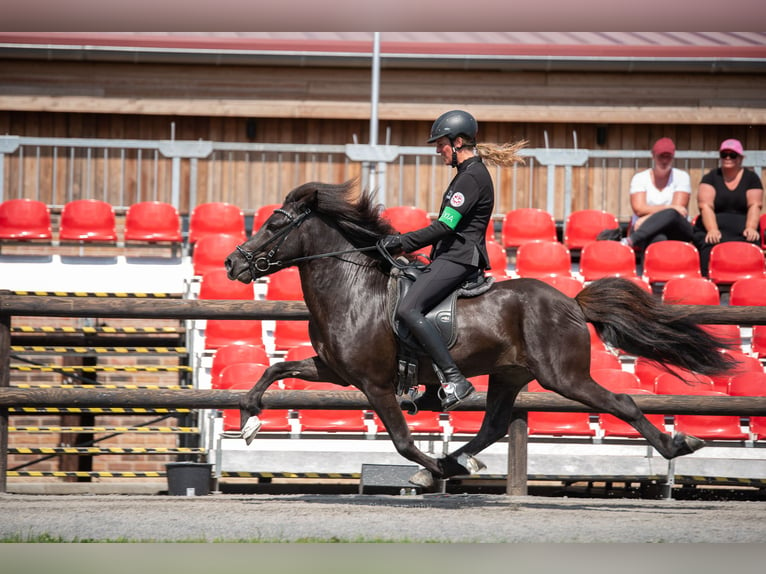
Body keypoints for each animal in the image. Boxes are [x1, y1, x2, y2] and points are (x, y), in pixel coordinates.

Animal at [225, 181, 736, 490]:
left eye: (274, 225)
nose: (232, 263)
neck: (354, 290)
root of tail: (571, 302)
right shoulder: (333, 370)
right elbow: (274, 369)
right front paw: (249, 420)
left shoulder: (375, 384)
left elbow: (402, 441)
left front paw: (433, 471)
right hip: (510, 374)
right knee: (493, 425)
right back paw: (459, 460)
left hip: (563, 377)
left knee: (623, 403)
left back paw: (678, 445)